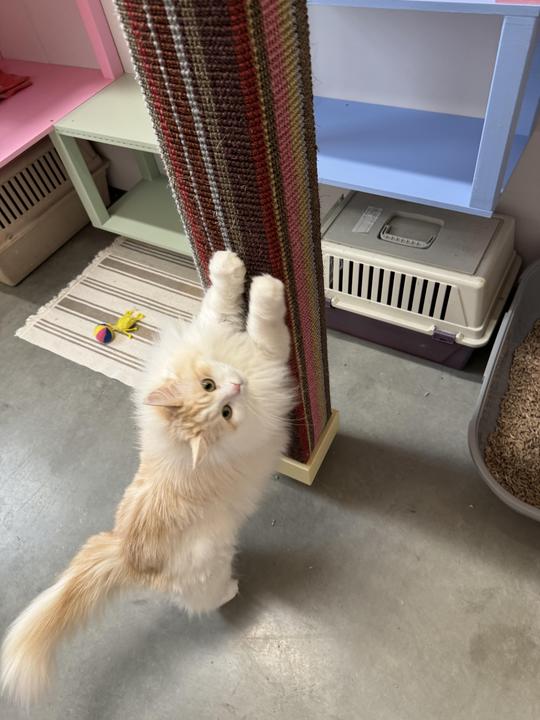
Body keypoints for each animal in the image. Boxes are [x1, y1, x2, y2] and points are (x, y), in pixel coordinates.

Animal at [1, 250, 295, 706]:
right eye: (219, 401)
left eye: (214, 390)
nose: (236, 385)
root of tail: (126, 552)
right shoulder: (268, 353)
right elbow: (261, 321)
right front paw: (263, 285)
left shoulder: (221, 331)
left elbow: (222, 301)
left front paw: (228, 267)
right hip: (209, 566)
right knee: (203, 603)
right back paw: (231, 589)